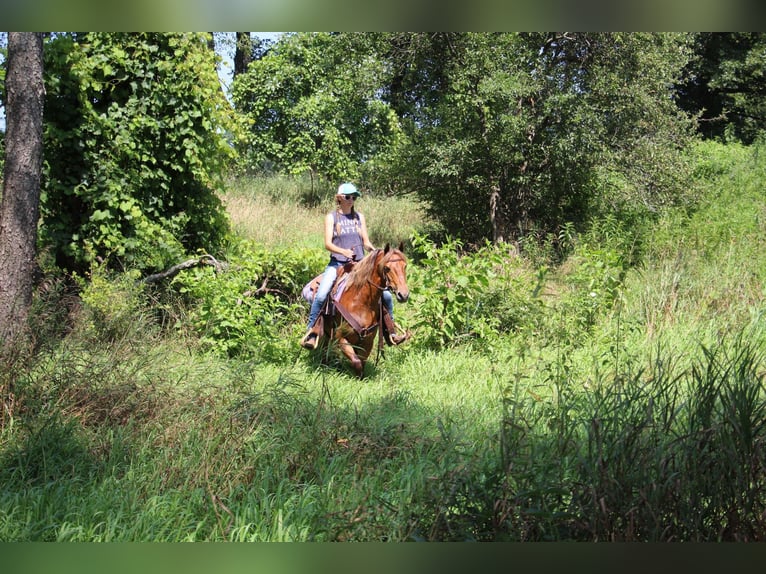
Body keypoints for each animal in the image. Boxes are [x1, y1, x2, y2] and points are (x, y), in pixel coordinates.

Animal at [316, 242, 412, 378]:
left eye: (405, 266)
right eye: (387, 268)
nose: (403, 295)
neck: (361, 304)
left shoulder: (368, 341)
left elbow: (362, 362)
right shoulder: (341, 338)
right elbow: (356, 362)